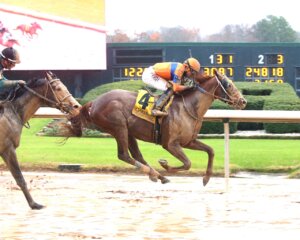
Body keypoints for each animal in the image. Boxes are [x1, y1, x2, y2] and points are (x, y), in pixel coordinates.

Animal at [0, 72, 81, 209]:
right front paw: (34, 204)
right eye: (57, 88)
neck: (12, 113)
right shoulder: (8, 149)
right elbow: (19, 178)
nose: (76, 107)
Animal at [79, 70, 246, 185]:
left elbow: (210, 150)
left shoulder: (188, 141)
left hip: (128, 131)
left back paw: (158, 176)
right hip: (118, 127)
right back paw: (154, 173)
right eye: (229, 85)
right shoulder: (170, 144)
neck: (189, 108)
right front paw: (164, 164)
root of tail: (95, 102)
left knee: (137, 155)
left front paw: (206, 178)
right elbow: (187, 163)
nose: (243, 101)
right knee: (124, 155)